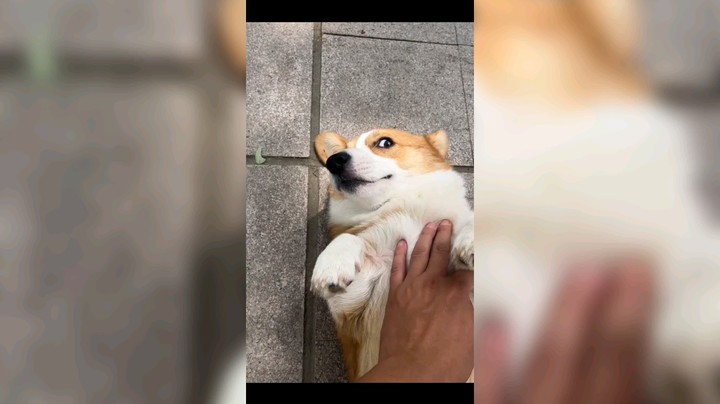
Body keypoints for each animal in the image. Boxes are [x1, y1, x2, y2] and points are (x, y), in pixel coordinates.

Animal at [311, 128, 474, 381]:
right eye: (340, 152)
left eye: (384, 143)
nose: (334, 161)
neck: (406, 207)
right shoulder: (353, 309)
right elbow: (349, 238)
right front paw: (332, 265)